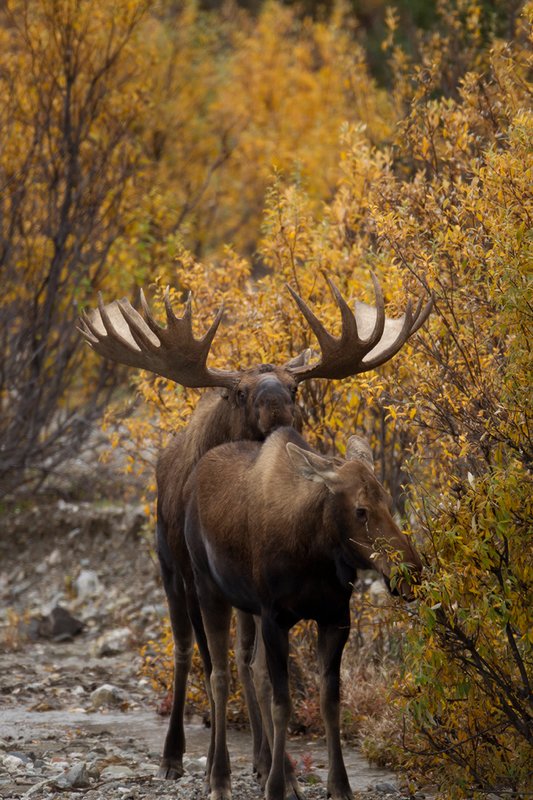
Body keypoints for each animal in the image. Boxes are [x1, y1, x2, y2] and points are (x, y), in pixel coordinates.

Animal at [184, 425, 423, 800]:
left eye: (388, 501)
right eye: (361, 510)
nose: (410, 573)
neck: (315, 554)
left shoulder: (335, 618)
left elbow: (330, 701)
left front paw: (338, 785)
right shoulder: (275, 619)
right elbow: (283, 705)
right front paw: (275, 788)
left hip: (248, 608)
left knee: (254, 671)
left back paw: (281, 772)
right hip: (207, 587)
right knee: (219, 676)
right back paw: (220, 778)